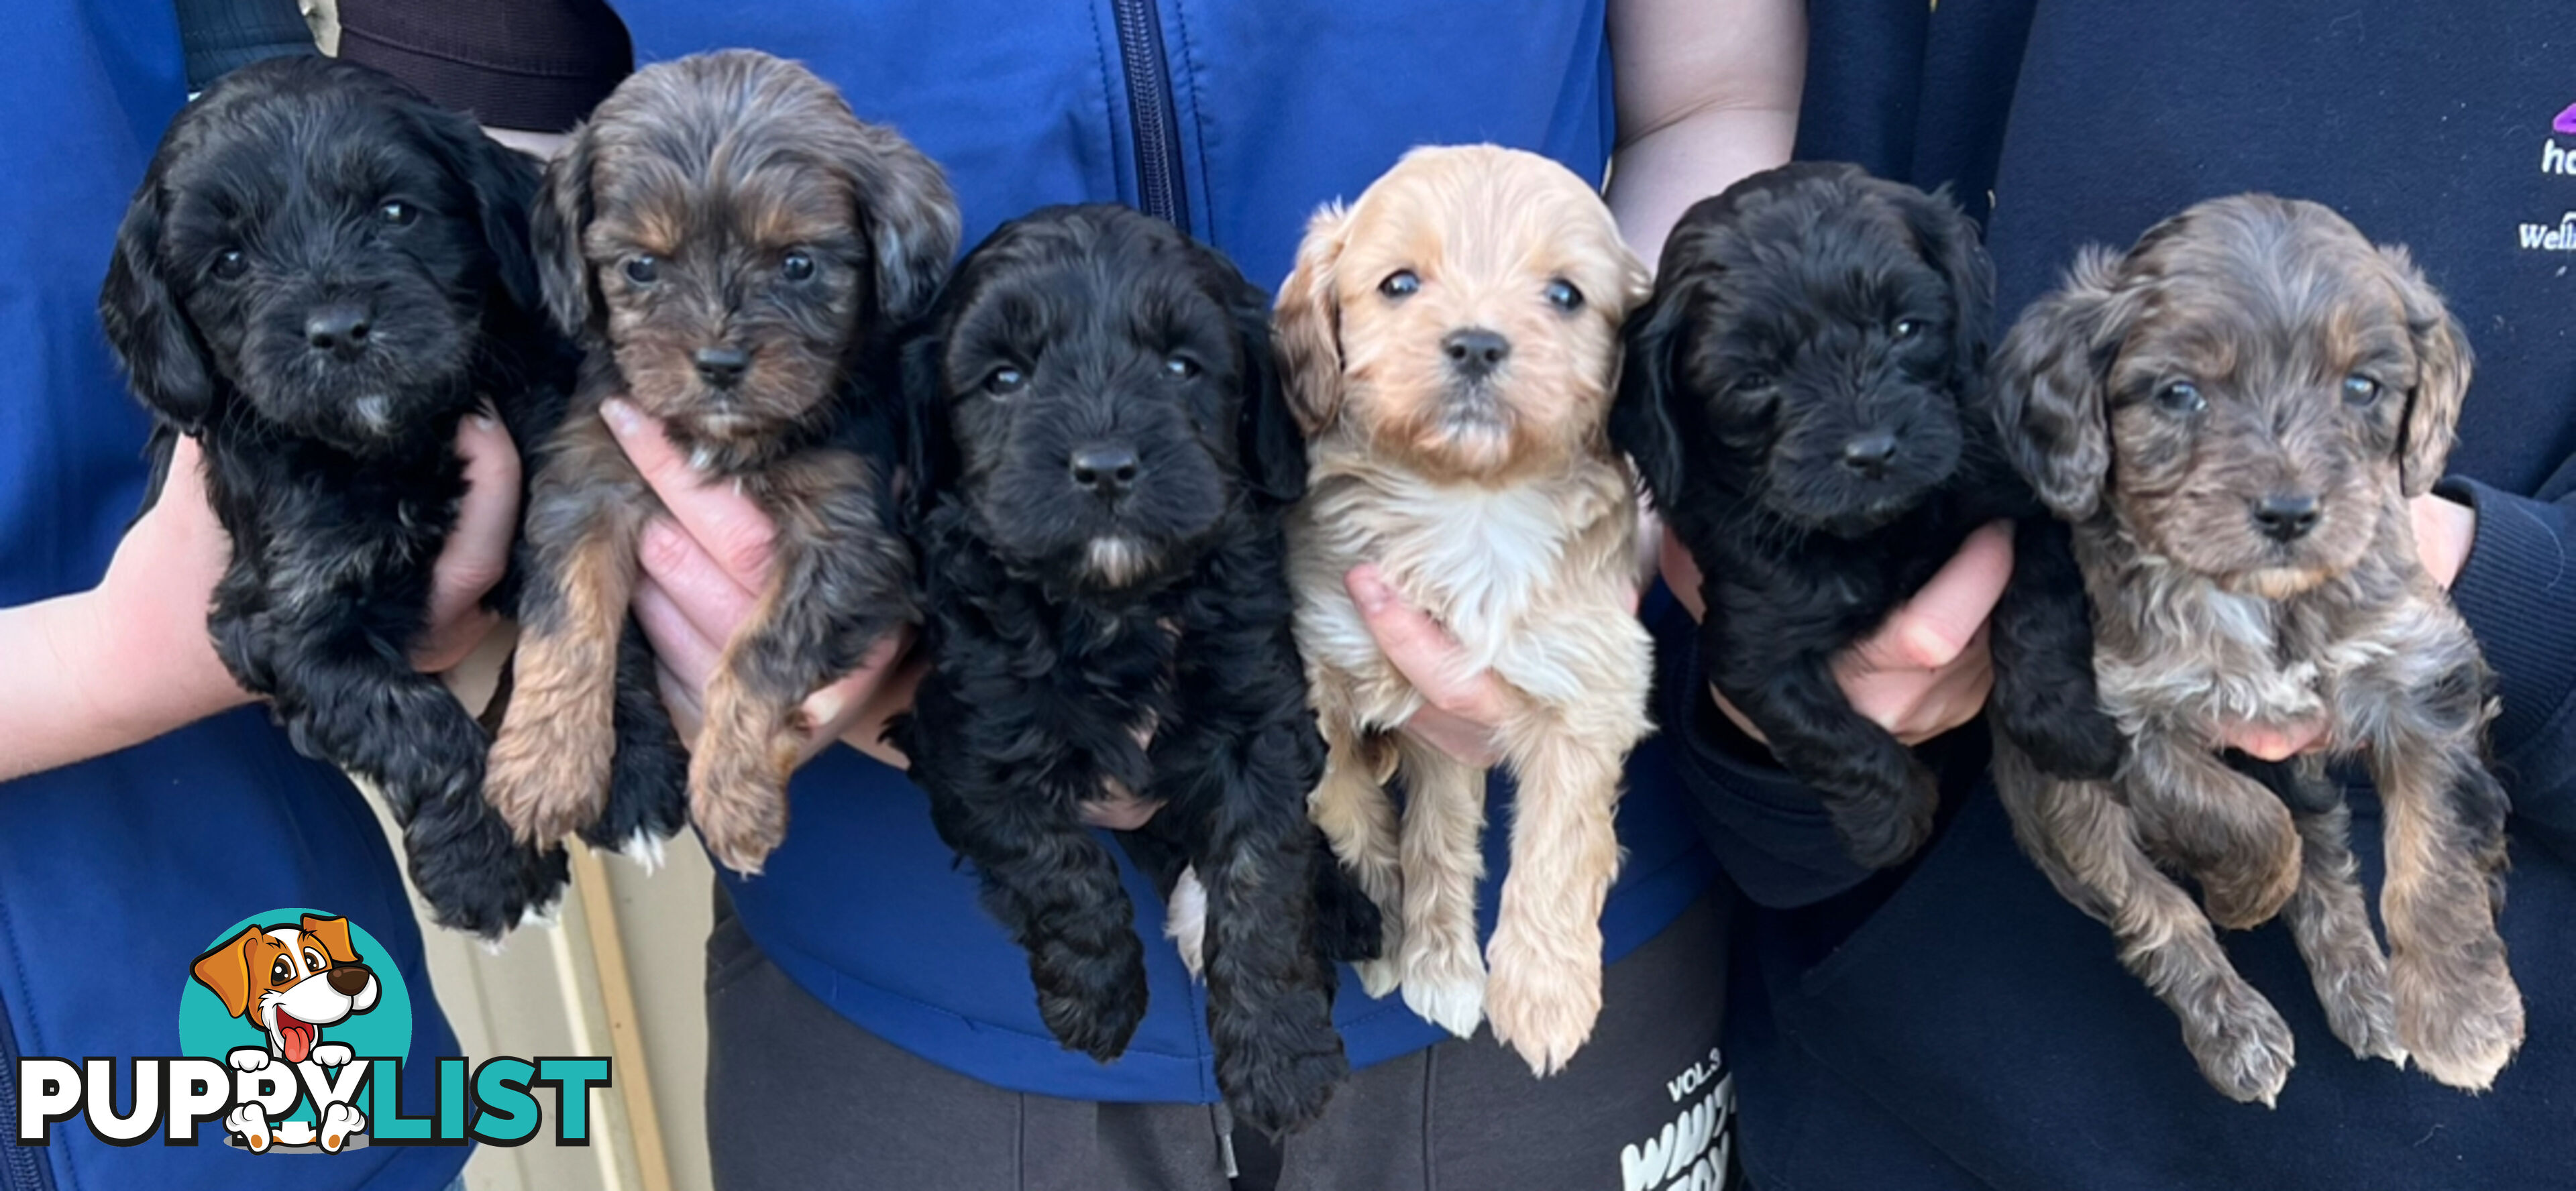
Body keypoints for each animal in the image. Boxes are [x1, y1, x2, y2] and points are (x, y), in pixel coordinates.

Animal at [99, 58, 569, 941]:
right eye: (229, 261)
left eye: (396, 212)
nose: (340, 328)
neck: (395, 443)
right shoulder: (290, 616)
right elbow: (414, 719)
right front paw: (486, 865)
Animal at [891, 205, 1370, 1137]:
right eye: (1003, 378)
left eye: (1183, 366)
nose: (1106, 466)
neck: (1115, 608)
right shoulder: (970, 741)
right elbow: (1050, 862)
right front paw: (1096, 998)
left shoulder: (1259, 723)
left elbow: (1261, 882)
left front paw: (1281, 1057)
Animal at [1617, 163, 2123, 869]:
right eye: (1752, 379)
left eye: (1906, 328)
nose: (1874, 451)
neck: (1883, 529)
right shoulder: (1750, 641)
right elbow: (1825, 735)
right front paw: (1890, 821)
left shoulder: (2028, 499)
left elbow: (2039, 605)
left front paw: (2066, 726)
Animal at [1988, 192, 2514, 1100]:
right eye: (2179, 394)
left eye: (2362, 387)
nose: (2290, 512)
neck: (2261, 601)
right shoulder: (2120, 718)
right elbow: (2241, 818)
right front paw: (2243, 896)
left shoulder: (2415, 673)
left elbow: (2434, 845)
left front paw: (2461, 1012)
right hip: (2058, 801)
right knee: (2156, 911)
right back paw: (2235, 1027)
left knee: (2329, 865)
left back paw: (2368, 993)